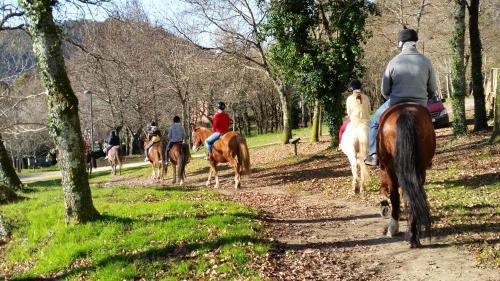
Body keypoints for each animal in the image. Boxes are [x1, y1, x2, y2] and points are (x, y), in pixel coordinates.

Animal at [376, 103, 436, 247]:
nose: (382, 190)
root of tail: (405, 113)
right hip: (420, 168)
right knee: (411, 196)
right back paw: (413, 235)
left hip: (391, 168)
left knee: (396, 197)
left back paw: (394, 228)